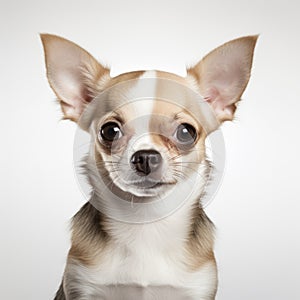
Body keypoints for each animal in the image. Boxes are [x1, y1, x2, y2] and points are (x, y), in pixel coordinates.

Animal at [41, 34, 258, 298]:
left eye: (186, 132)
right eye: (109, 131)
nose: (145, 156)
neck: (147, 222)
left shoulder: (199, 288)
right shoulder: (80, 285)